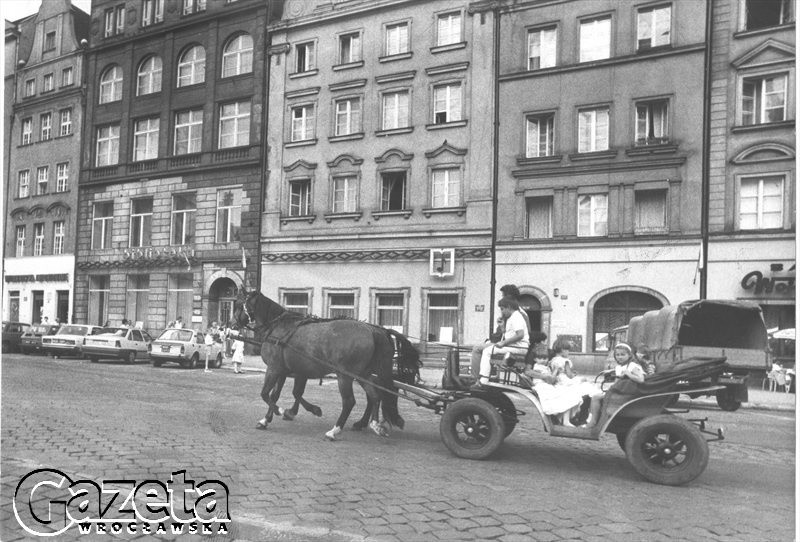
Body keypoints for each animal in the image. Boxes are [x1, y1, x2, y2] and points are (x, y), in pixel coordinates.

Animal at [231, 294, 418, 442]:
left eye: (239, 304)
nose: (231, 324)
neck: (279, 328)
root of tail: (372, 330)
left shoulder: (274, 369)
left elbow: (266, 394)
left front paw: (282, 410)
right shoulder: (285, 371)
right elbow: (278, 395)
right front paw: (267, 419)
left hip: (345, 376)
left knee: (350, 401)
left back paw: (335, 431)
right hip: (362, 374)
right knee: (375, 396)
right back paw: (373, 424)